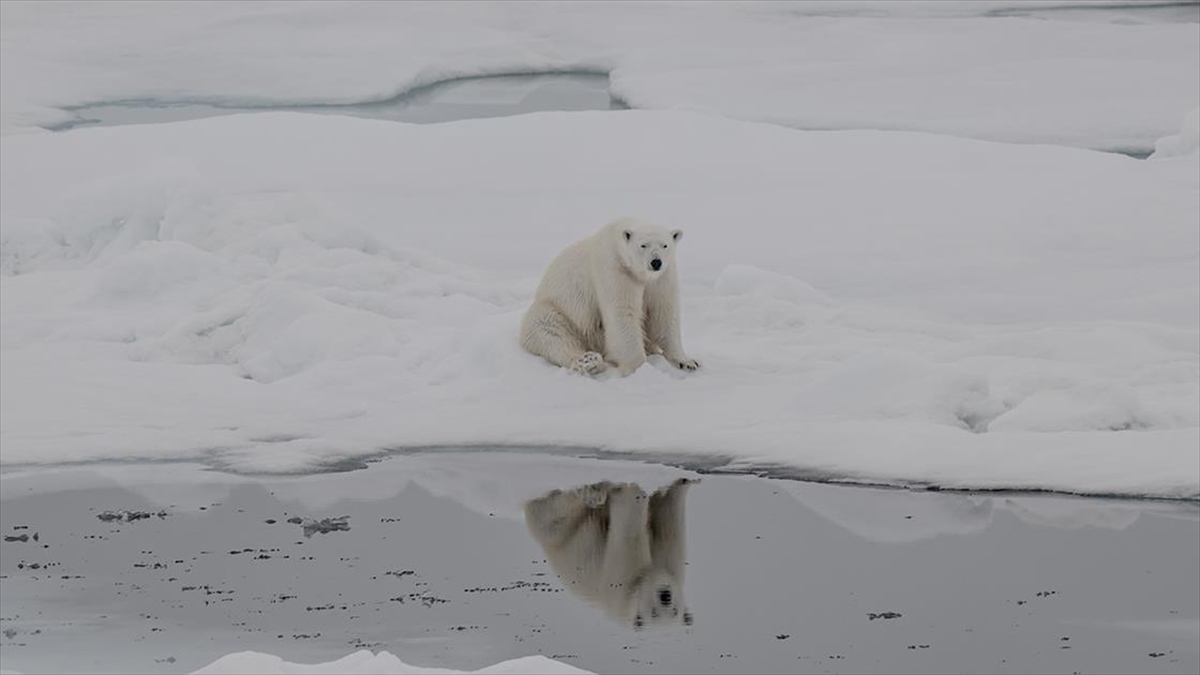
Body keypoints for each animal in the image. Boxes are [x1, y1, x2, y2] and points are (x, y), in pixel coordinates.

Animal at [520, 216, 700, 374]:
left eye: (665, 245)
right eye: (643, 245)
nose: (656, 262)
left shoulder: (662, 278)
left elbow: (664, 313)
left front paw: (687, 362)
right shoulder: (614, 269)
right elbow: (622, 314)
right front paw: (639, 368)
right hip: (559, 310)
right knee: (550, 331)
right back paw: (589, 362)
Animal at [523, 475, 700, 629]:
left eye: (675, 611)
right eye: (654, 613)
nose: (665, 596)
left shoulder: (670, 565)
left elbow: (668, 528)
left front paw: (685, 482)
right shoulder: (622, 582)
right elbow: (630, 526)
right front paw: (633, 491)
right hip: (559, 529)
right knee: (562, 506)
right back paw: (594, 493)